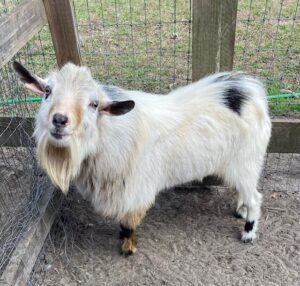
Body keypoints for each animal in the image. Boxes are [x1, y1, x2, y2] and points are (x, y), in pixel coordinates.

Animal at [13, 62, 272, 255]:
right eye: (47, 92)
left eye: (94, 104)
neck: (108, 134)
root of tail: (249, 93)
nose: (59, 120)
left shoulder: (133, 191)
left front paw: (127, 247)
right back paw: (241, 211)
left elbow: (128, 223)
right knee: (246, 192)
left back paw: (248, 232)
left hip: (246, 162)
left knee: (256, 198)